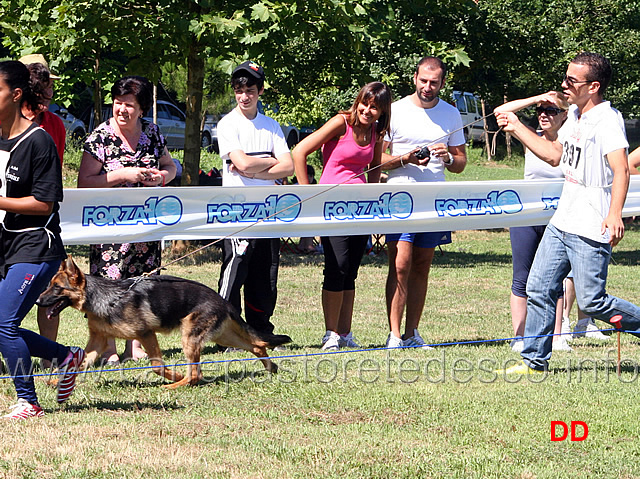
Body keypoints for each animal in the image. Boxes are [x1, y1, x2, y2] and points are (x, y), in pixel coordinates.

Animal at [36, 256, 292, 388]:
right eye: (48, 285)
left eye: (56, 288)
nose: (37, 300)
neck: (105, 298)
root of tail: (222, 300)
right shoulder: (98, 342)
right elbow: (78, 364)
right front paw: (57, 381)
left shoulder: (146, 334)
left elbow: (158, 366)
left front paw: (173, 376)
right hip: (222, 336)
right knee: (257, 346)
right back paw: (271, 369)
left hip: (190, 338)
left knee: (196, 373)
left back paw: (178, 384)